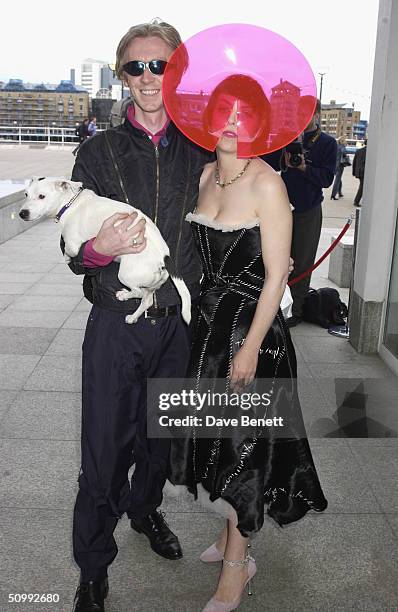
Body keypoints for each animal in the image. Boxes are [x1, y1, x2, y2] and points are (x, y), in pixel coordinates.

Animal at [20, 177, 191, 326]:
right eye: (26, 194)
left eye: (42, 196)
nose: (22, 213)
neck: (69, 203)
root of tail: (164, 257)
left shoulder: (73, 244)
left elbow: (68, 251)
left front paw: (66, 259)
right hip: (152, 285)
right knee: (146, 300)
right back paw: (133, 317)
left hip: (125, 275)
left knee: (138, 292)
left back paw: (124, 295)